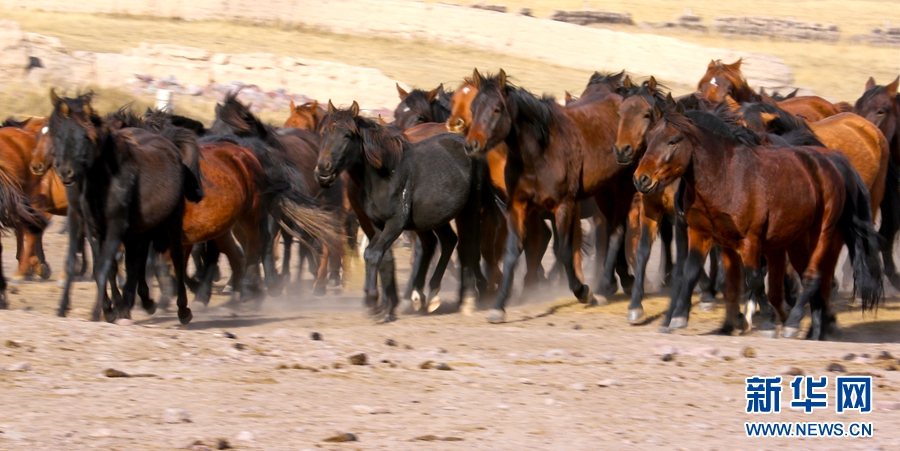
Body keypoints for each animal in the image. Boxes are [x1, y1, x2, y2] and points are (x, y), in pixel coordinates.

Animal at [50, 92, 204, 324]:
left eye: (85, 136)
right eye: (57, 133)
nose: (65, 172)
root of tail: (170, 146)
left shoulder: (116, 224)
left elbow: (106, 266)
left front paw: (100, 311)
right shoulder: (89, 224)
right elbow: (90, 265)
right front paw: (66, 308)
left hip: (171, 219)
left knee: (176, 258)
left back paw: (182, 310)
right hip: (140, 228)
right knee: (136, 262)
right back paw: (135, 303)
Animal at [318, 102, 492, 322]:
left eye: (347, 135)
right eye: (324, 132)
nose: (323, 170)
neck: (384, 174)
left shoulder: (395, 223)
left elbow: (374, 254)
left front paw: (374, 302)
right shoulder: (377, 223)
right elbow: (378, 256)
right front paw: (384, 306)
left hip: (468, 210)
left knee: (467, 245)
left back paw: (468, 298)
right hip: (435, 216)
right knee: (448, 241)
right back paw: (431, 294)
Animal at [636, 107, 884, 340]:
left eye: (673, 140)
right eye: (650, 138)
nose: (641, 179)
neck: (724, 176)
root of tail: (832, 161)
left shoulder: (750, 240)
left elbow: (754, 280)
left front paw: (767, 324)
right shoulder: (701, 233)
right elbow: (691, 272)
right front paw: (678, 318)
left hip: (822, 232)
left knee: (813, 276)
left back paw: (794, 324)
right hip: (797, 241)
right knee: (813, 280)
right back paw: (814, 330)